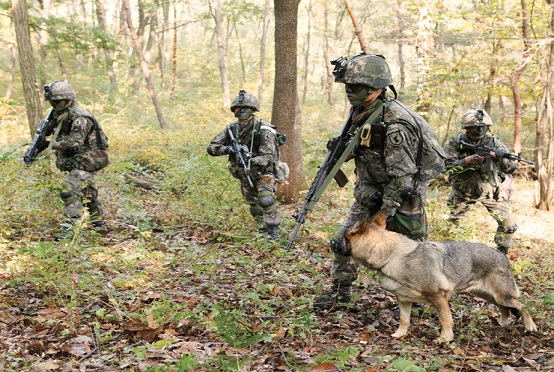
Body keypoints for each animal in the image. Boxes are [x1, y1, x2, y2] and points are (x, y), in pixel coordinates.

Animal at [340, 208, 536, 342]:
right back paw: (502, 324)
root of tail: (502, 256)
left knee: (523, 305)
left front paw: (445, 339)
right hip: (488, 296)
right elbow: (404, 320)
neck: (391, 255)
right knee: (506, 310)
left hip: (503, 296)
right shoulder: (404, 300)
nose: (334, 244)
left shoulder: (439, 297)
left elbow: (445, 320)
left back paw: (530, 327)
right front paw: (399, 334)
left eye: (344, 236)